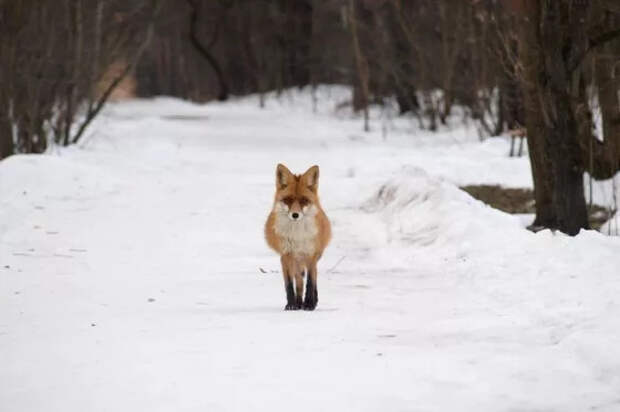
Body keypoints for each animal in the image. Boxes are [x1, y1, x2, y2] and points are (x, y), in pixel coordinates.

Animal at [266, 163, 334, 308]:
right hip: (295, 261)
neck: (297, 236)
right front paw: (292, 304)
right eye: (288, 200)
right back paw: (298, 302)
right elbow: (289, 284)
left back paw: (312, 301)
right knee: (298, 280)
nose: (295, 215)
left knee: (311, 278)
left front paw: (309, 304)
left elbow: (310, 282)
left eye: (304, 200)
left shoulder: (311, 255)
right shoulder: (285, 255)